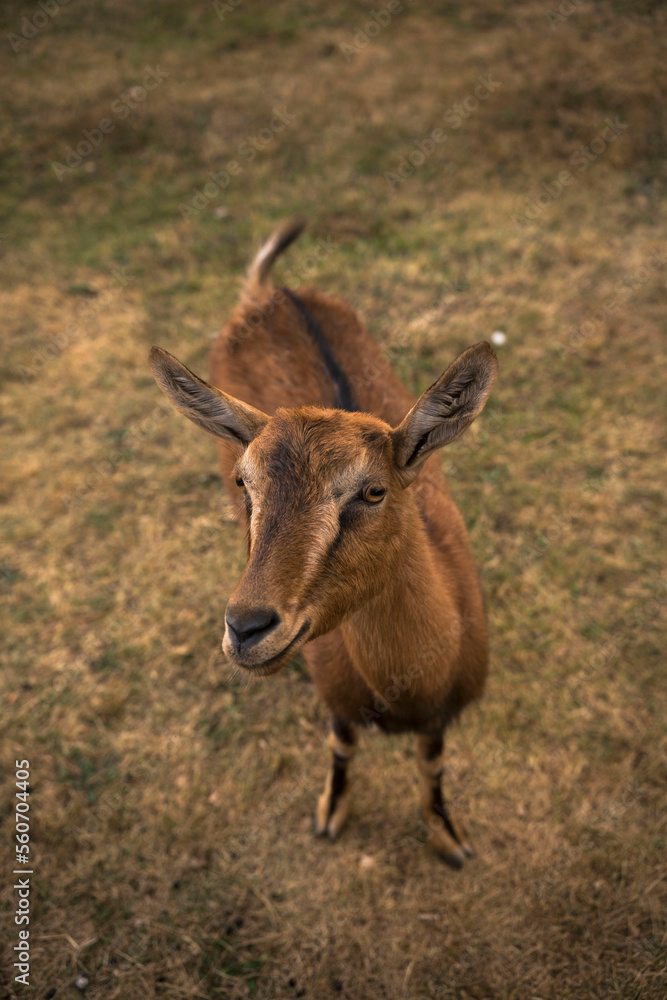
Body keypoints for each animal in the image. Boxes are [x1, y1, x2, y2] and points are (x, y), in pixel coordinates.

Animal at [149, 218, 498, 868]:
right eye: (245, 482)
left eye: (374, 490)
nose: (246, 628)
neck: (405, 690)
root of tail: (267, 293)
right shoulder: (334, 698)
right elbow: (342, 749)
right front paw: (331, 813)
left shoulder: (441, 717)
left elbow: (432, 765)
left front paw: (449, 836)